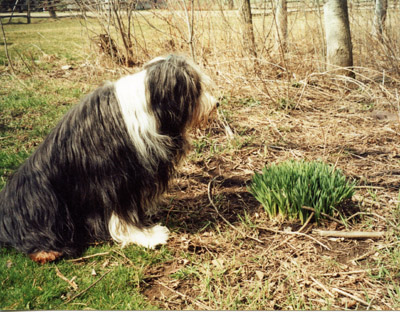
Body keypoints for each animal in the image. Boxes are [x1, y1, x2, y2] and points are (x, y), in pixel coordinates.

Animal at [0, 54, 217, 264]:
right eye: (196, 87)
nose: (216, 104)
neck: (149, 106)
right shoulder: (117, 179)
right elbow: (123, 214)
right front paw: (147, 236)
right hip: (45, 201)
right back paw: (47, 252)